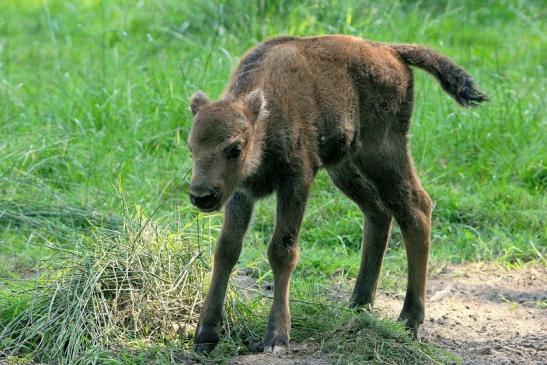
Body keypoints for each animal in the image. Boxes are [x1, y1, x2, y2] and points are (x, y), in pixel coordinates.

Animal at [187, 34, 488, 352]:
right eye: (191, 148)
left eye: (235, 148)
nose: (201, 196)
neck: (264, 118)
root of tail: (389, 50)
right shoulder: (240, 194)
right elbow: (226, 249)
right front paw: (205, 335)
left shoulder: (296, 181)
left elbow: (282, 250)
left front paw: (277, 337)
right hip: (344, 168)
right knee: (379, 213)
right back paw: (358, 304)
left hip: (382, 154)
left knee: (415, 209)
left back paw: (409, 320)